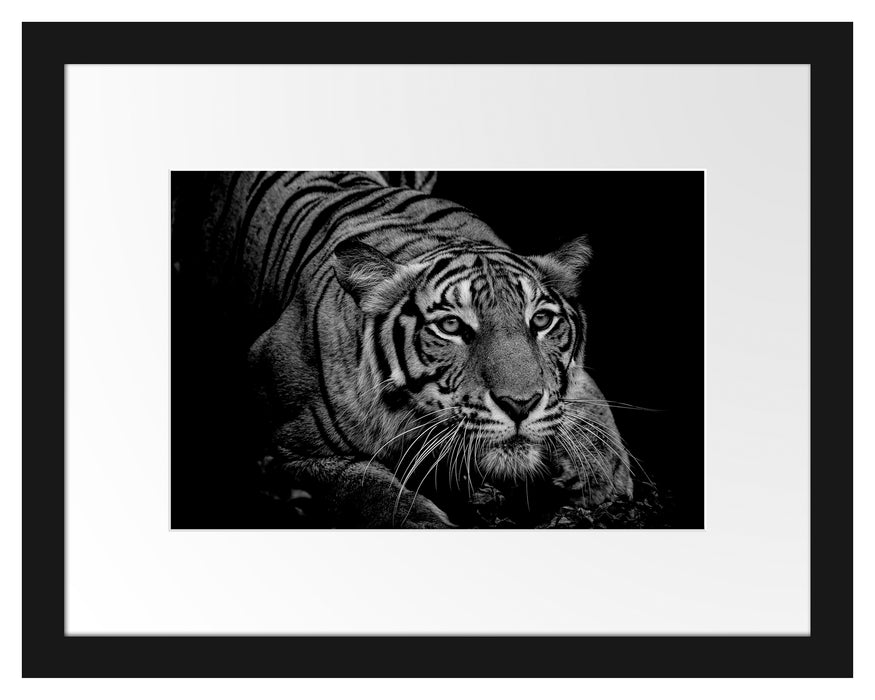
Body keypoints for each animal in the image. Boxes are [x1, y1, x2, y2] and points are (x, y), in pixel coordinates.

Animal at [175, 170, 633, 527]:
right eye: (451, 325)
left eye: (540, 321)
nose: (519, 405)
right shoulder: (286, 451)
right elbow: (367, 490)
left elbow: (589, 404)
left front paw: (604, 478)